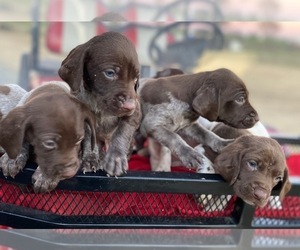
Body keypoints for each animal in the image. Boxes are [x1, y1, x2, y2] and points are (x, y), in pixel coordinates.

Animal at [59, 30, 142, 176]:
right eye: (109, 73)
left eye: (136, 79)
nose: (129, 106)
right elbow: (89, 139)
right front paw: (90, 158)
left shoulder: (134, 113)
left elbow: (122, 133)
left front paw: (115, 159)